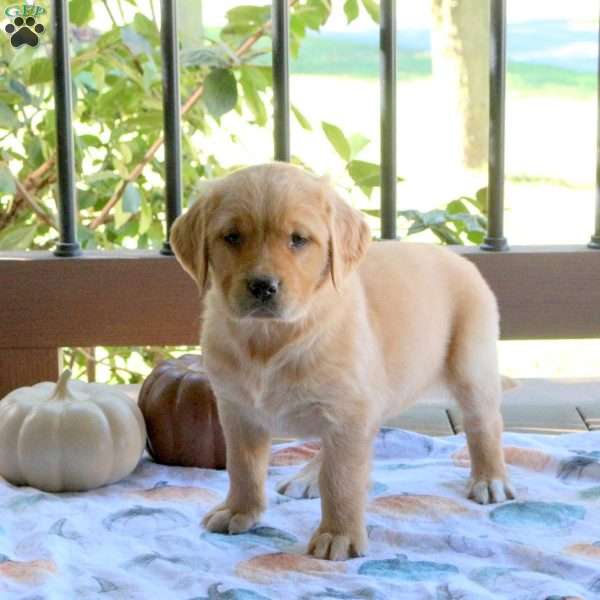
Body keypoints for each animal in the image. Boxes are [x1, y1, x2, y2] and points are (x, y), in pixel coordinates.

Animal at [170, 161, 516, 564]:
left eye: (298, 239)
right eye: (232, 237)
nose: (262, 286)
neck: (270, 340)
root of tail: (457, 257)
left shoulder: (347, 412)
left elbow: (342, 480)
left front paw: (339, 534)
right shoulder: (238, 411)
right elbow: (242, 467)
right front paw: (240, 510)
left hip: (471, 365)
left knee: (484, 424)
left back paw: (490, 478)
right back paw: (306, 476)